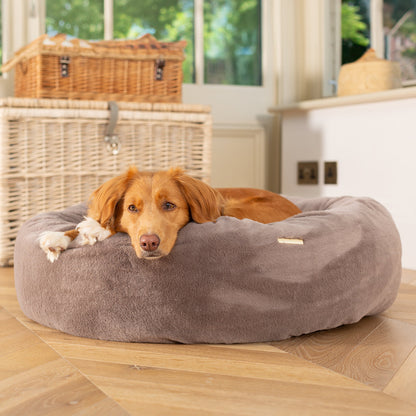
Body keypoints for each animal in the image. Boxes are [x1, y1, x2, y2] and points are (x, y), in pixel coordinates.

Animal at [39, 165, 300, 260]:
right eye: (132, 208)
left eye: (169, 205)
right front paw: (58, 237)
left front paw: (96, 230)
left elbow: (110, 227)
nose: (149, 243)